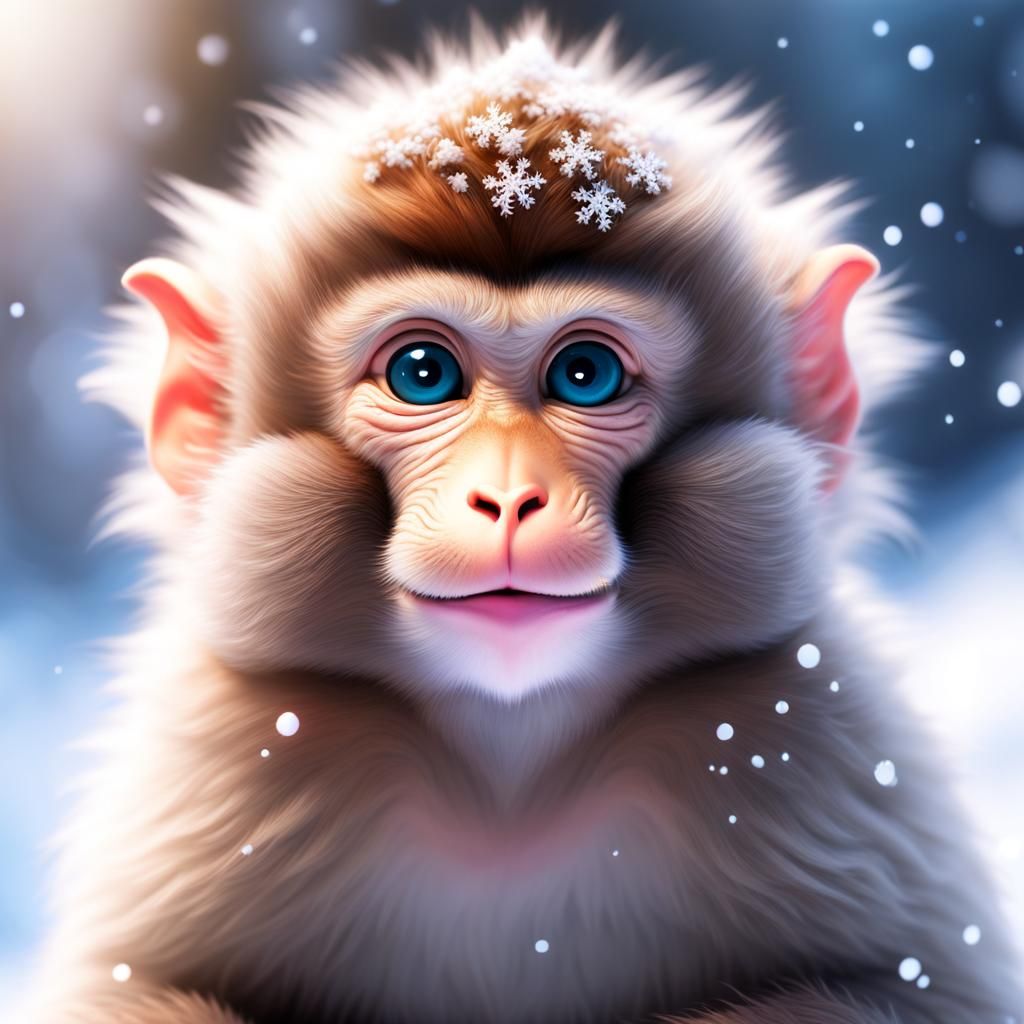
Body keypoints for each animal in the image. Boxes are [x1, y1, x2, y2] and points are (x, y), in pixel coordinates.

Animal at [21, 16, 1023, 1024]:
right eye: (423, 373)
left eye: (586, 375)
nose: (507, 498)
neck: (508, 779)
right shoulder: (214, 768)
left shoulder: (828, 743)